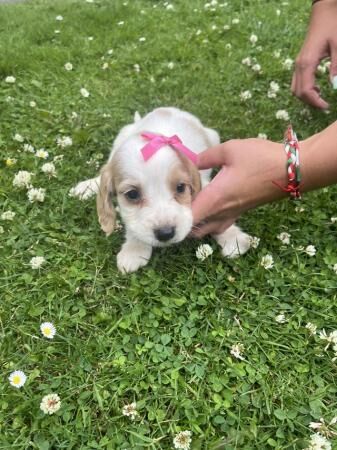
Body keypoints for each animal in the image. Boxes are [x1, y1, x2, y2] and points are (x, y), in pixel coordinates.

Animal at [70, 107, 249, 272]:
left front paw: (233, 238)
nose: (165, 233)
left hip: (213, 136)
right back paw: (87, 186)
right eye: (132, 194)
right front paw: (134, 250)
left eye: (180, 187)